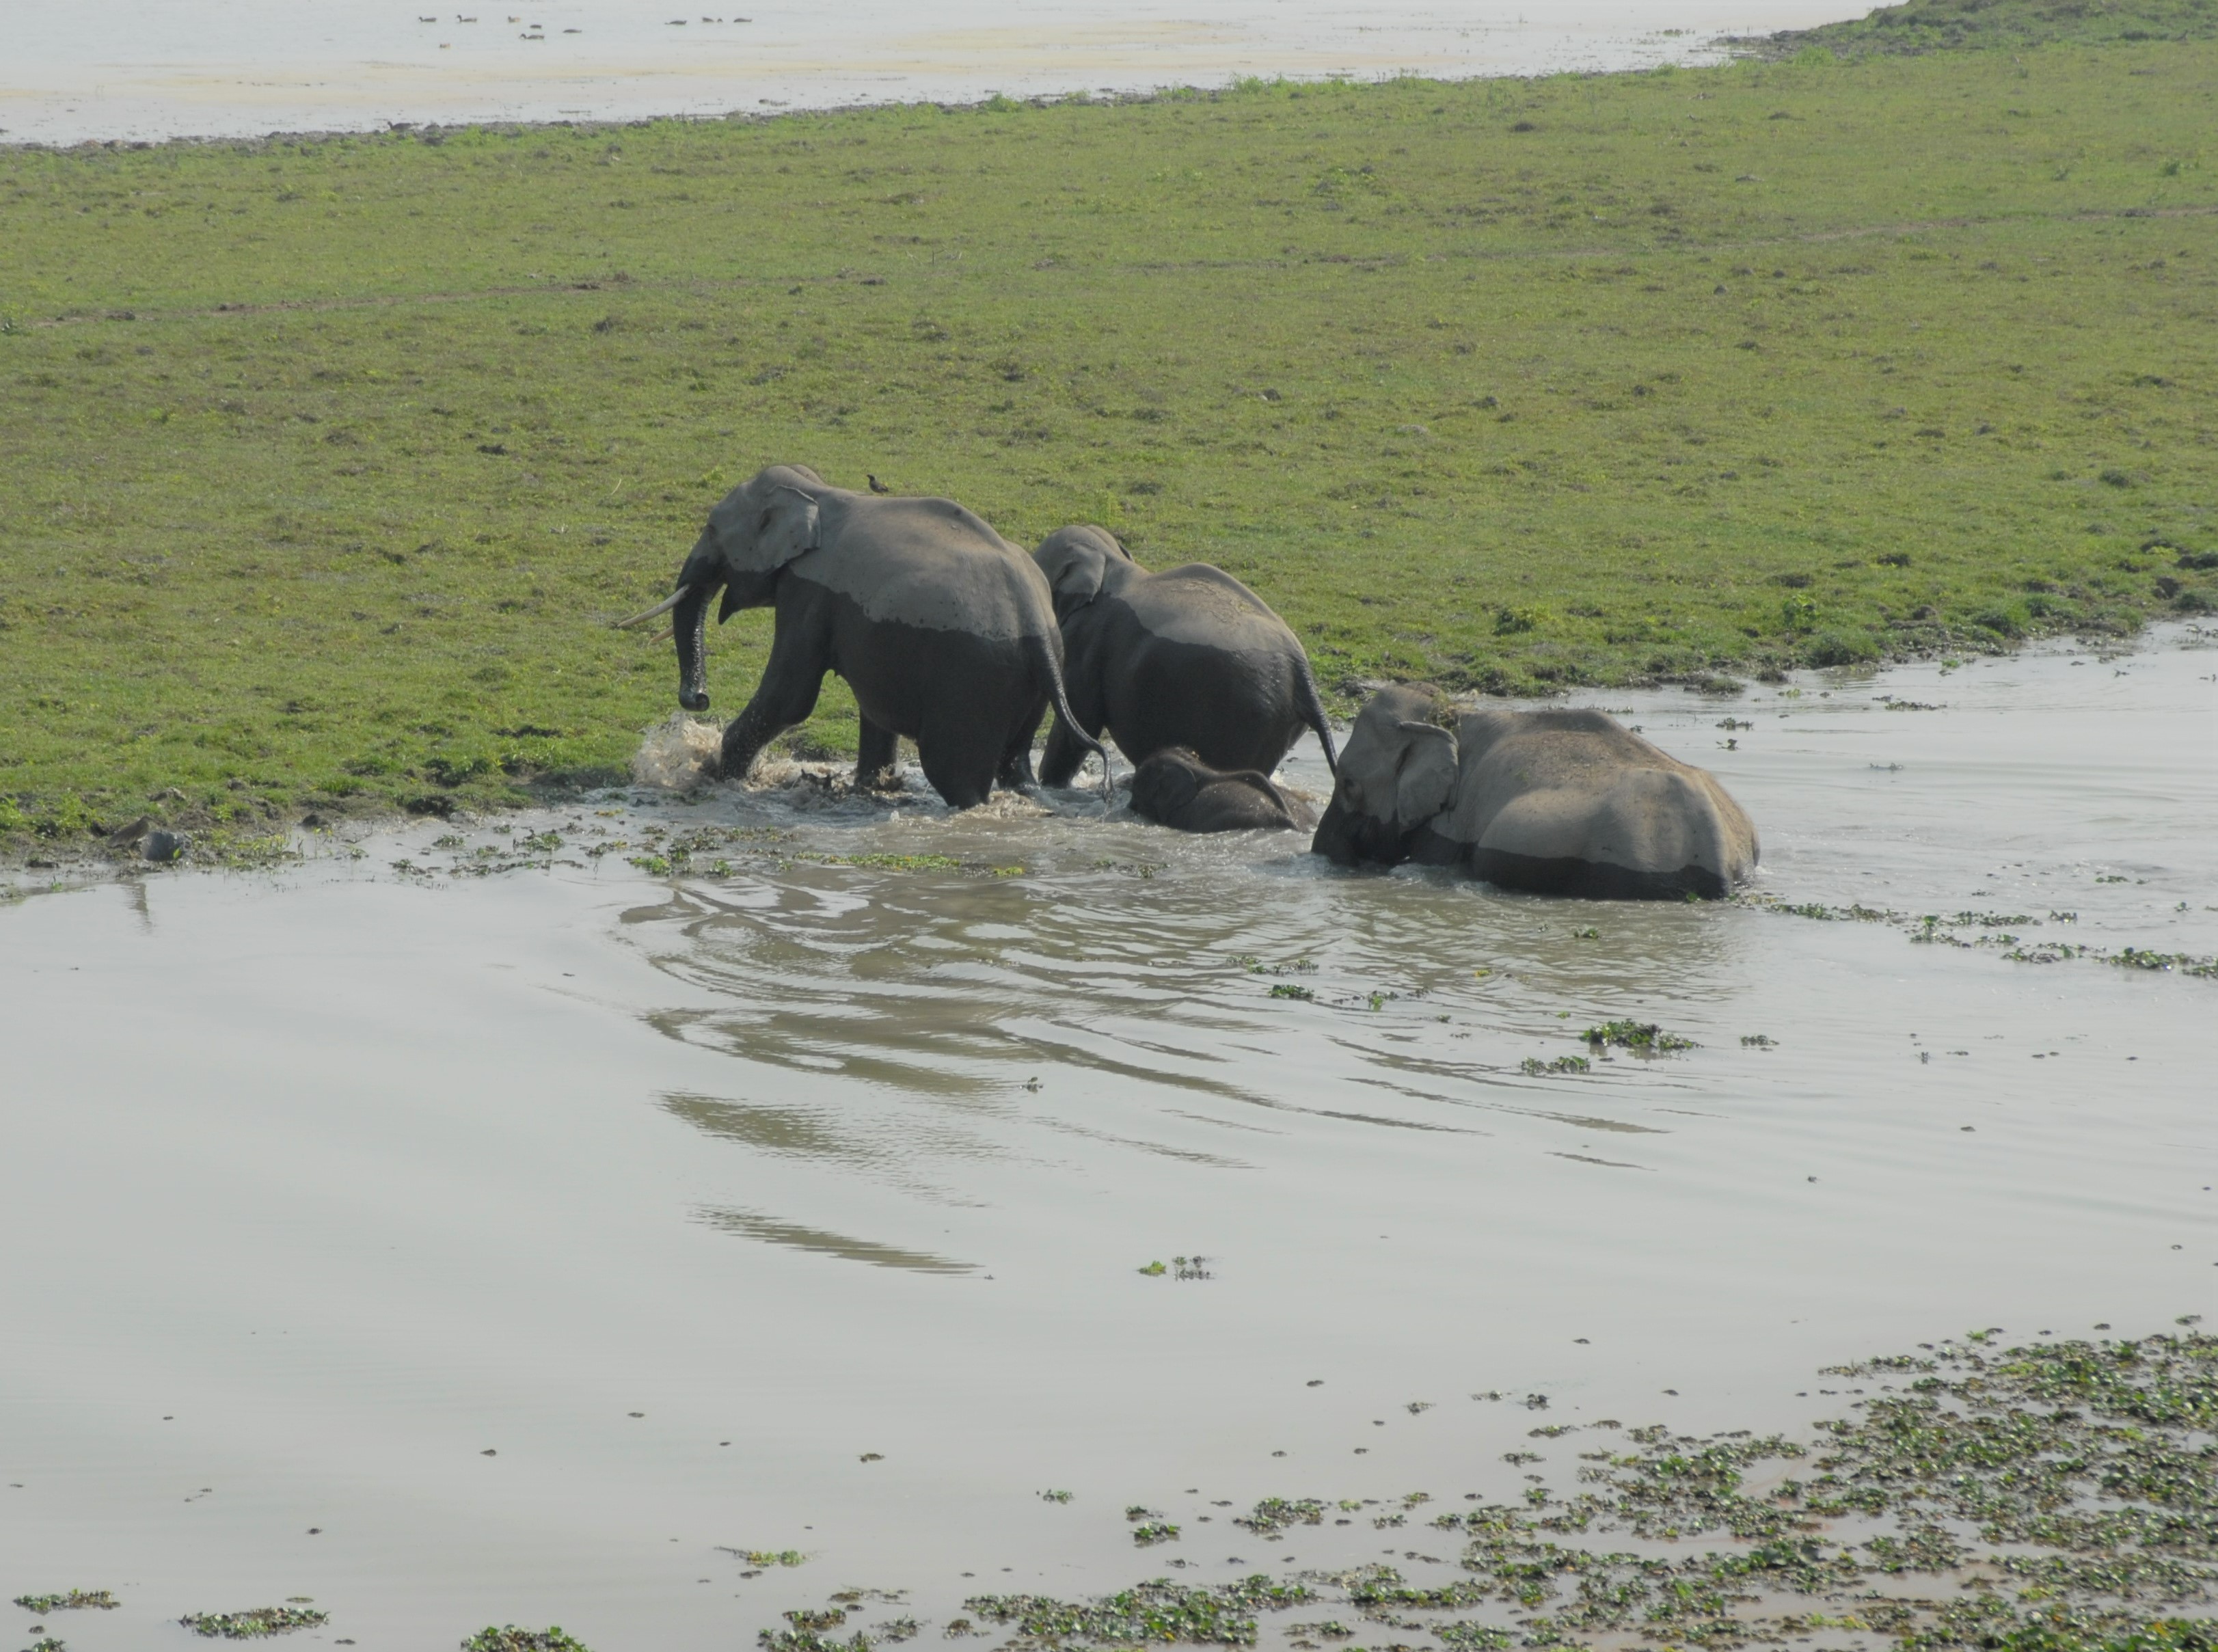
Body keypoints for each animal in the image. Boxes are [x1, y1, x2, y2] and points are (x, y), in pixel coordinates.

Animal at [617, 463, 1109, 807]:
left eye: (711, 529)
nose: (699, 699)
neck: (815, 491)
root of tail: (1034, 619)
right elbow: (873, 706)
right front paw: (871, 787)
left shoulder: (808, 590)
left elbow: (790, 697)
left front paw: (717, 775)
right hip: (1031, 679)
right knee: (1014, 766)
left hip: (973, 681)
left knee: (955, 774)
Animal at [1029, 528, 1339, 785]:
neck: (1110, 559)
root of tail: (1302, 673)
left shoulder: (1088, 639)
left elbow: (1081, 718)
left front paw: (1049, 786)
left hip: (1248, 714)